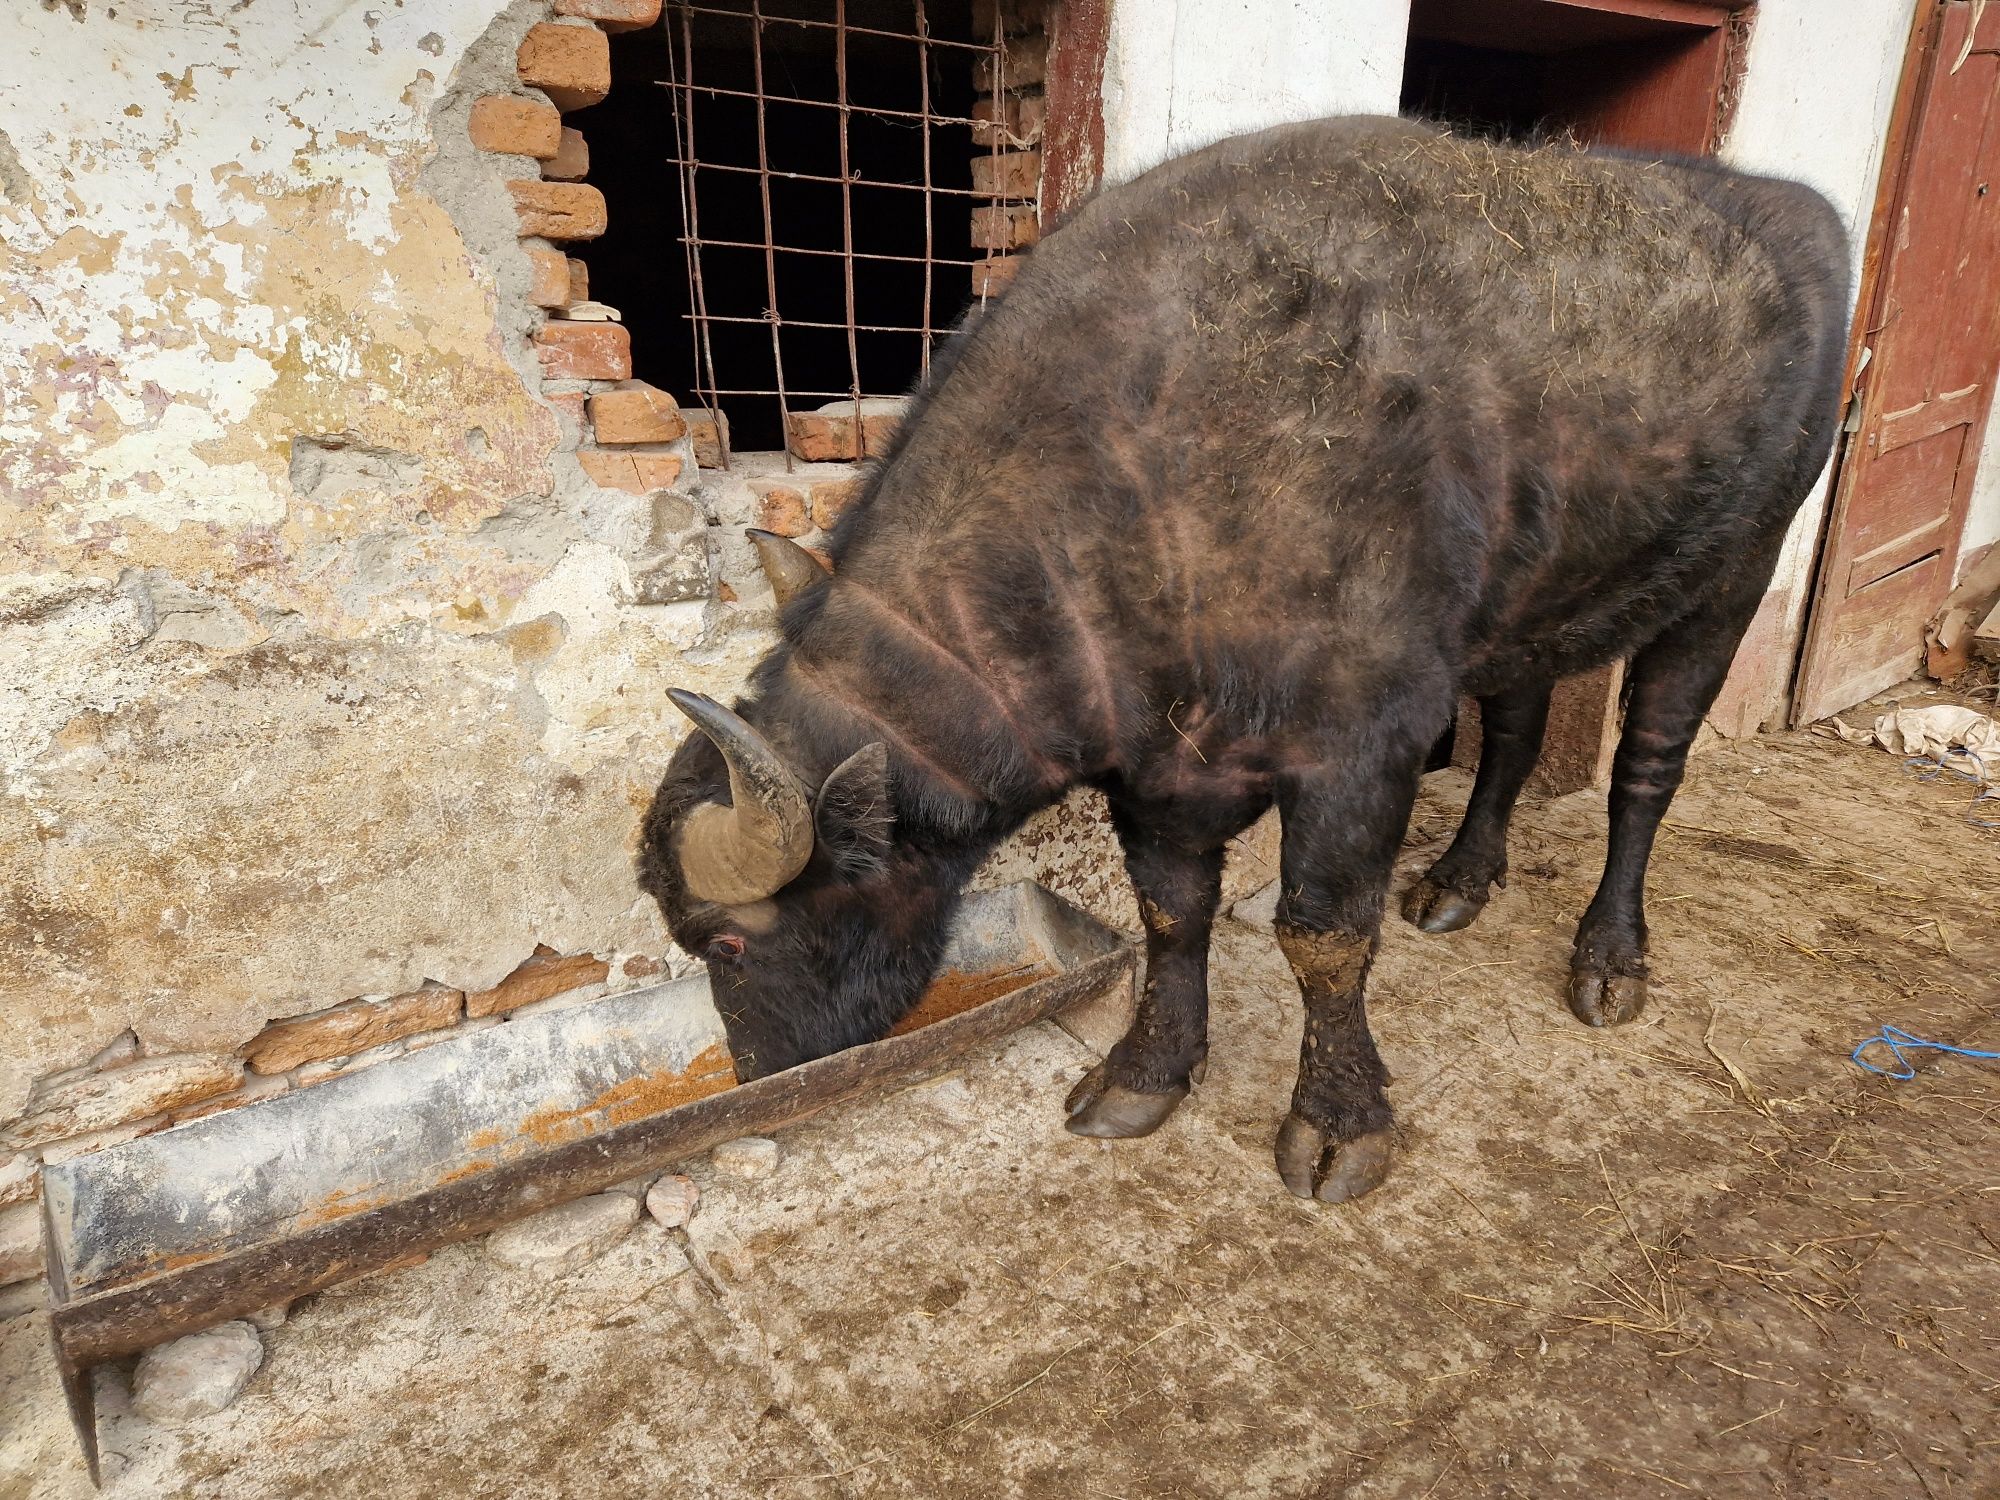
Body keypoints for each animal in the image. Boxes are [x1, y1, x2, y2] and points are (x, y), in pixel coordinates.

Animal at [636, 111, 1840, 1208]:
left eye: (727, 946)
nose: (756, 1074)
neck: (1152, 472)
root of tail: (1800, 211)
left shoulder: (1361, 753)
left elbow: (1322, 936)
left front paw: (1339, 1121)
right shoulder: (1159, 769)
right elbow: (1172, 916)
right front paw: (1144, 1072)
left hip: (1734, 575)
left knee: (1647, 767)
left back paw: (1607, 956)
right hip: (1531, 607)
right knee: (1513, 727)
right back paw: (1458, 881)